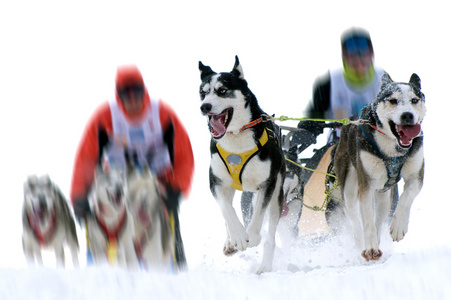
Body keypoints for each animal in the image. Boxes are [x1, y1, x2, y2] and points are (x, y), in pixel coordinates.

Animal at [199, 56, 286, 274]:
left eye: (222, 90)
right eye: (203, 92)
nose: (204, 107)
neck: (236, 139)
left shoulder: (267, 184)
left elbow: (257, 217)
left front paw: (252, 237)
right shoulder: (216, 182)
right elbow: (227, 211)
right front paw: (237, 237)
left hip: (277, 194)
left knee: (270, 234)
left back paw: (265, 266)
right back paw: (230, 242)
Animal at [336, 73, 428, 260]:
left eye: (414, 100)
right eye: (393, 100)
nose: (407, 115)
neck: (393, 149)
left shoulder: (415, 177)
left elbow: (407, 197)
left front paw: (398, 227)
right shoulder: (366, 185)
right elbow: (367, 220)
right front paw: (370, 247)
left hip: (385, 196)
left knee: (379, 220)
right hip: (349, 189)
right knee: (355, 219)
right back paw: (361, 242)